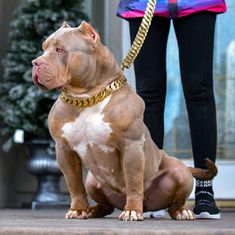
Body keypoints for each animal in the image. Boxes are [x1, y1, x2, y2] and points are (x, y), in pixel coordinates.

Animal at [31, 21, 217, 221]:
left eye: (59, 49)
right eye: (43, 49)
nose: (35, 62)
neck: (88, 98)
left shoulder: (131, 146)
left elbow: (133, 182)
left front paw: (133, 211)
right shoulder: (64, 149)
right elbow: (74, 184)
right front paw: (78, 209)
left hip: (180, 172)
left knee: (174, 203)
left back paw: (181, 212)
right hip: (92, 180)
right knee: (105, 205)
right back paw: (93, 210)